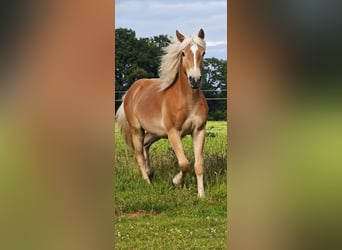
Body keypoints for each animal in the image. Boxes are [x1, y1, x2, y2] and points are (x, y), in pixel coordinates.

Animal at [116, 28, 208, 197]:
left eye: (203, 53)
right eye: (183, 53)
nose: (195, 79)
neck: (187, 102)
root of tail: (131, 91)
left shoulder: (199, 130)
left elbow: (198, 165)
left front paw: (201, 195)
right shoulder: (173, 133)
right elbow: (184, 163)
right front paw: (176, 181)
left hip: (156, 133)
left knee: (146, 145)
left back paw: (150, 172)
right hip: (137, 130)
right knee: (138, 154)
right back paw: (147, 182)